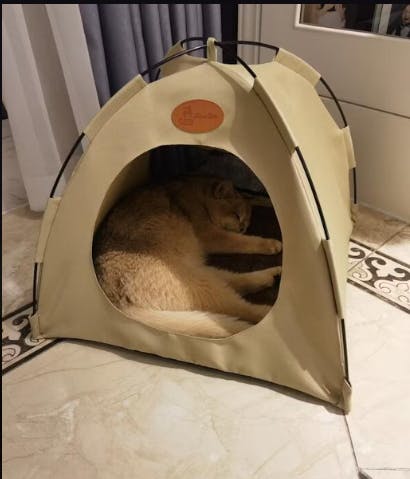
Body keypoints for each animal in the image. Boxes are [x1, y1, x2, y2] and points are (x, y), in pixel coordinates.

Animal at [93, 176, 282, 338]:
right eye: (236, 215)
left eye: (247, 222)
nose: (243, 227)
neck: (196, 195)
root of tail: (116, 303)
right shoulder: (211, 235)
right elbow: (243, 241)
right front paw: (272, 244)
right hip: (200, 284)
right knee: (241, 309)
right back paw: (269, 314)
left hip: (200, 274)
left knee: (234, 282)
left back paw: (270, 276)